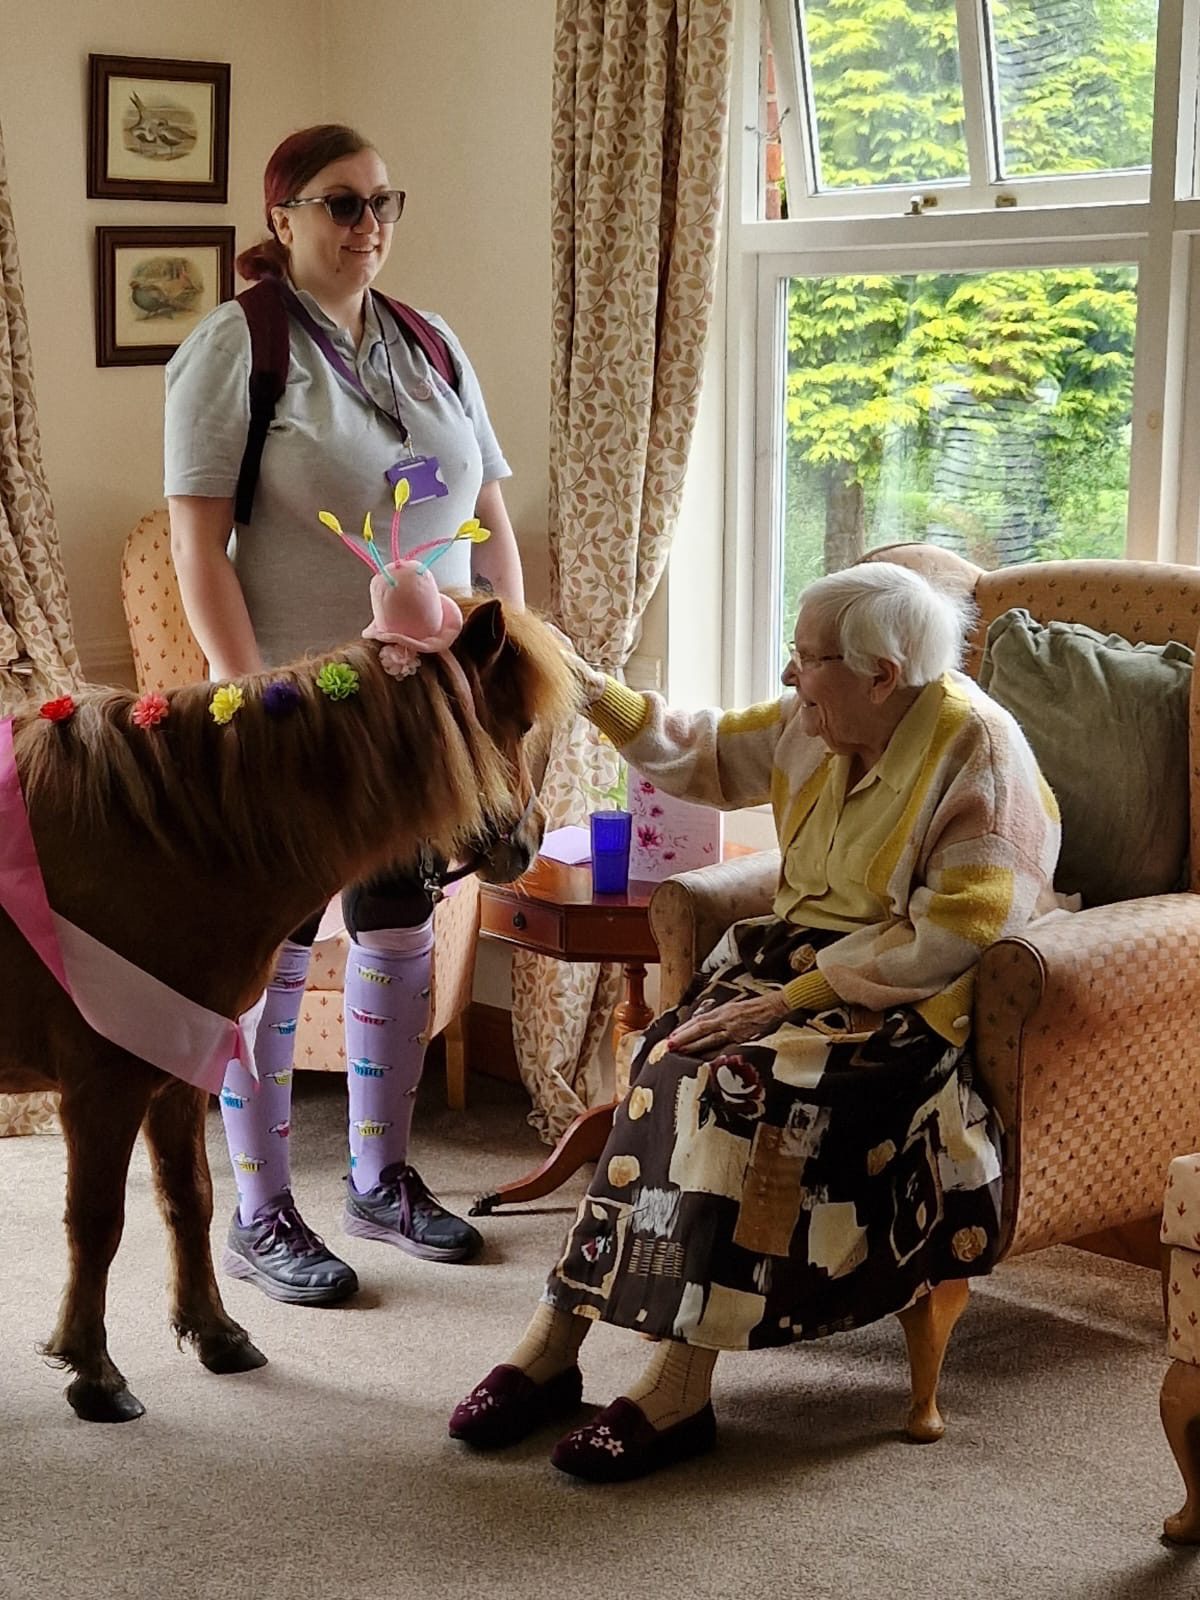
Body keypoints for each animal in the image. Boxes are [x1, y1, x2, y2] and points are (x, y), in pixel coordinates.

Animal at [0, 597, 576, 1423]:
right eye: (520, 723)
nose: (529, 843)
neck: (162, 844)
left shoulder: (178, 1070)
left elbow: (190, 1200)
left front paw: (215, 1333)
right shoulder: (102, 1086)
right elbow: (98, 1222)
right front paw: (94, 1371)